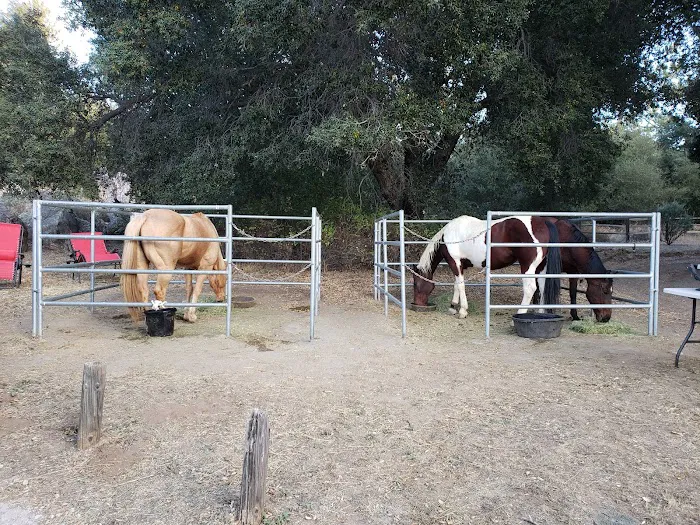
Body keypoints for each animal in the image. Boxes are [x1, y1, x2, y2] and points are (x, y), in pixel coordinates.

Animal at [412, 215, 561, 318]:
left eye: (415, 284)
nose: (417, 304)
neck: (448, 236)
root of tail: (542, 222)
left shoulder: (455, 262)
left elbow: (461, 285)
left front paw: (462, 311)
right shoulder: (459, 265)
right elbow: (456, 284)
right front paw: (453, 306)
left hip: (527, 267)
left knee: (530, 289)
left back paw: (519, 314)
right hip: (540, 268)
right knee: (542, 287)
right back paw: (540, 313)